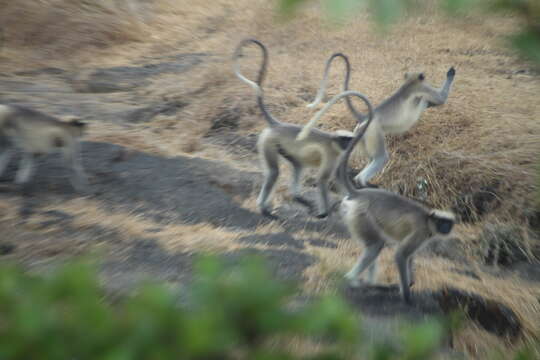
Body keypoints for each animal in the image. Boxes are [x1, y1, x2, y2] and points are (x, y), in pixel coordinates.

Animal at [232, 39, 362, 219]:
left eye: (349, 140)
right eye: (344, 140)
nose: (347, 145)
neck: (333, 141)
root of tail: (278, 125)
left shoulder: (340, 155)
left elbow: (338, 177)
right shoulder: (331, 153)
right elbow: (322, 180)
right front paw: (325, 213)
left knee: (297, 165)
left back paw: (296, 196)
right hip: (268, 141)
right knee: (274, 172)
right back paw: (263, 207)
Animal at [304, 60, 456, 187]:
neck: (409, 84)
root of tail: (367, 118)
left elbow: (431, 102)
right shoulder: (422, 88)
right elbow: (441, 99)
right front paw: (450, 73)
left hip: (361, 136)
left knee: (371, 157)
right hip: (373, 131)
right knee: (381, 157)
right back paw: (362, 182)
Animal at [332, 96, 454, 304]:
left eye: (448, 223)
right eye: (442, 222)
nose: (445, 228)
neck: (428, 219)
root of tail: (360, 193)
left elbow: (410, 256)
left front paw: (411, 282)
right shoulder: (421, 232)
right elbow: (401, 255)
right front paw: (406, 296)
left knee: (372, 246)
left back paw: (369, 283)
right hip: (362, 215)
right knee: (375, 246)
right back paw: (353, 281)